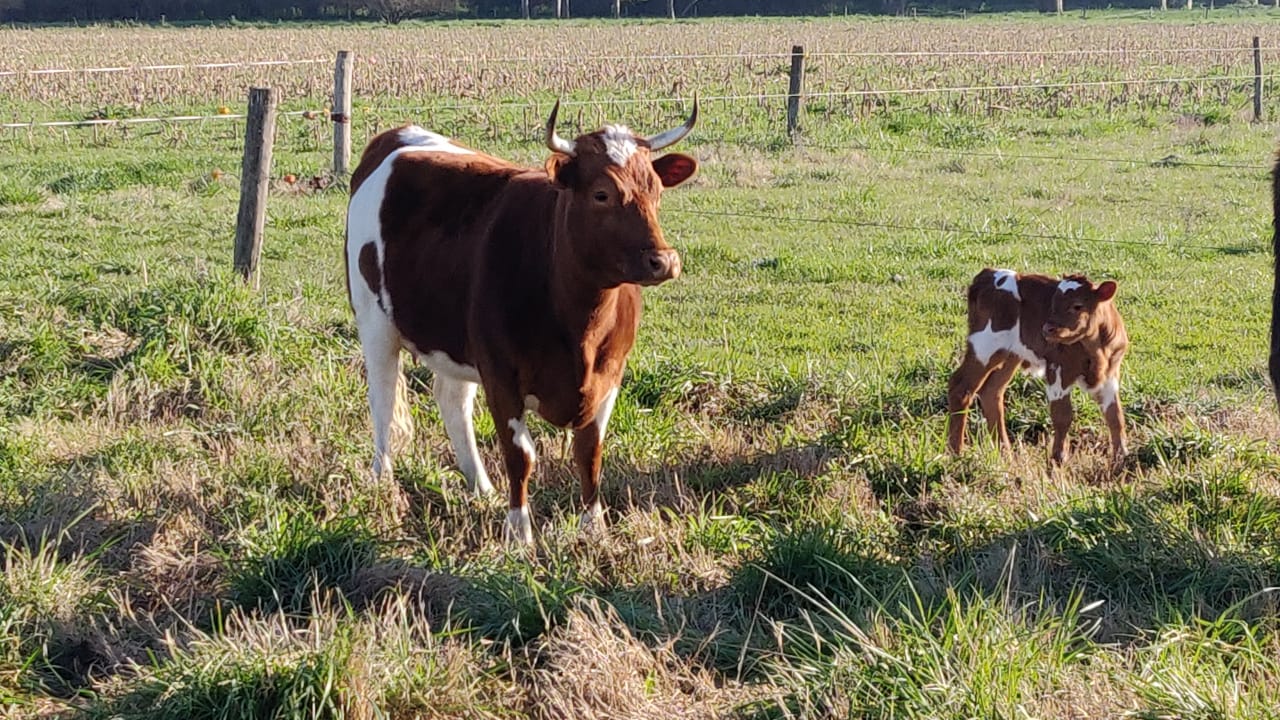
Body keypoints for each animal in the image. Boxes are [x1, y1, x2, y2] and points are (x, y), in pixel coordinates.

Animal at [343, 99, 701, 538]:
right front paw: (519, 533)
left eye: (655, 190)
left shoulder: (610, 375)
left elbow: (590, 453)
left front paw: (594, 528)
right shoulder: (501, 376)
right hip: (374, 320)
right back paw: (383, 482)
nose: (664, 261)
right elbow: (521, 456)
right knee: (383, 399)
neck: (579, 325)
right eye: (601, 194)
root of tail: (397, 135)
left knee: (452, 400)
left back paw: (481, 488)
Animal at [942, 266, 1131, 461]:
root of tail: (987, 274)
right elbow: (1062, 416)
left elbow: (1116, 417)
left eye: (1078, 306)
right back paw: (957, 452)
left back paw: (1006, 452)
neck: (1097, 348)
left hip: (1010, 354)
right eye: (1053, 303)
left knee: (992, 392)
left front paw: (1121, 458)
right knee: (960, 387)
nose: (1047, 329)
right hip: (983, 347)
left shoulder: (1110, 375)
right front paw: (1058, 458)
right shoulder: (1058, 369)